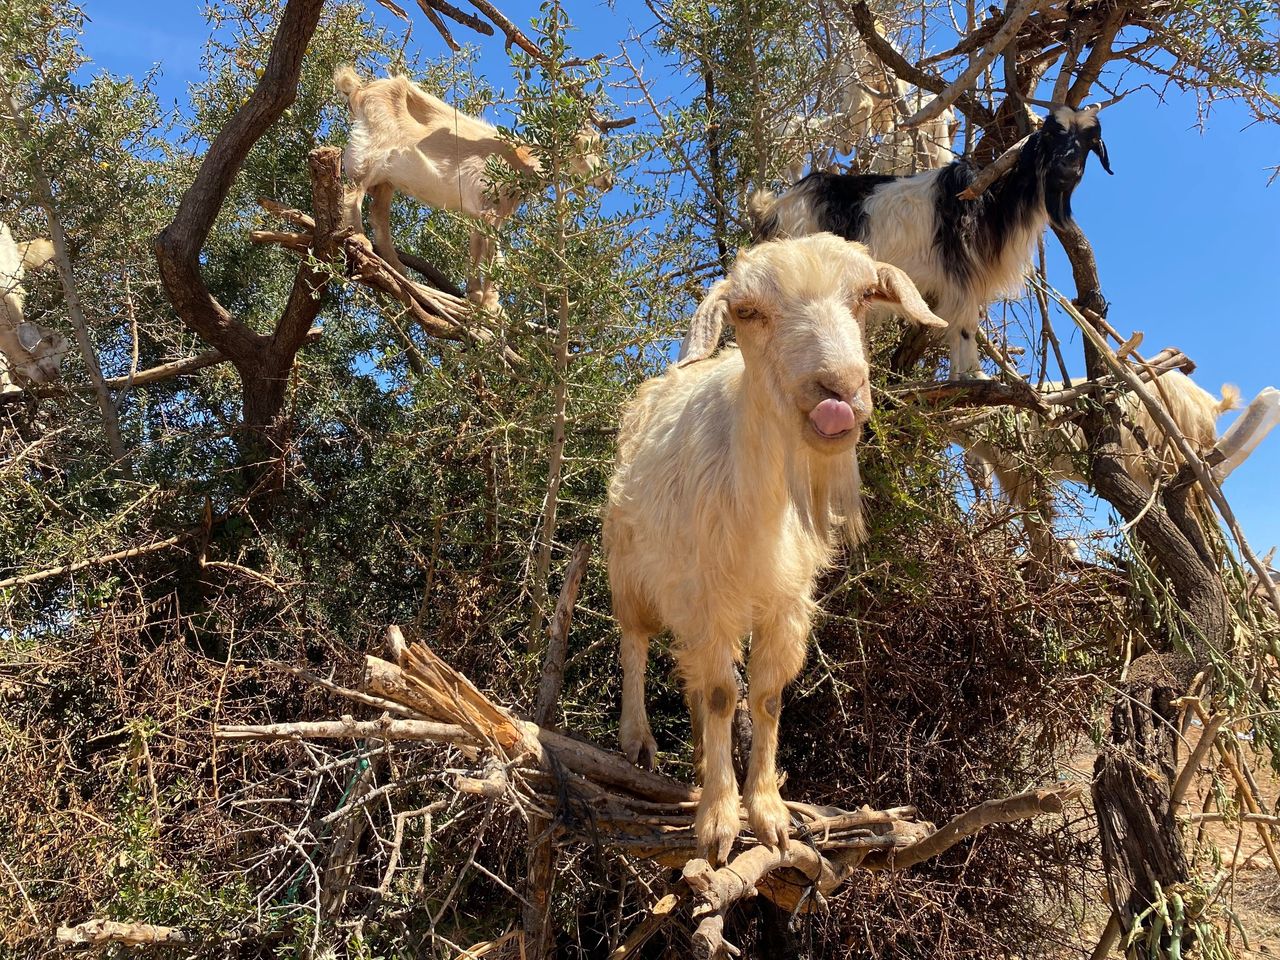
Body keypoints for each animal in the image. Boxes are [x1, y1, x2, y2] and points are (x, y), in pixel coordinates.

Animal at [330, 64, 609, 312]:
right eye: (587, 145)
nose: (607, 180)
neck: (521, 160)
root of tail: (359, 89)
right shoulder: (492, 209)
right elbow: (494, 255)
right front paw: (491, 305)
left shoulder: (480, 213)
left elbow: (477, 251)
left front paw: (477, 297)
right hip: (371, 151)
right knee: (352, 193)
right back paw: (361, 242)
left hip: (387, 180)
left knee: (379, 216)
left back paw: (398, 268)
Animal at [604, 232, 947, 865]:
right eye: (748, 311)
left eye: (865, 297)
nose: (840, 390)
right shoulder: (708, 591)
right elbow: (722, 694)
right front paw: (718, 820)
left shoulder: (785, 601)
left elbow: (763, 697)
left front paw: (766, 813)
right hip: (631, 566)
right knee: (636, 644)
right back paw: (637, 740)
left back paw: (697, 758)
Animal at [747, 104, 1116, 376]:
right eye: (1052, 135)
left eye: (1089, 140)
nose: (1068, 167)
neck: (991, 203)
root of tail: (772, 210)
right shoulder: (961, 275)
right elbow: (964, 326)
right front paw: (972, 377)